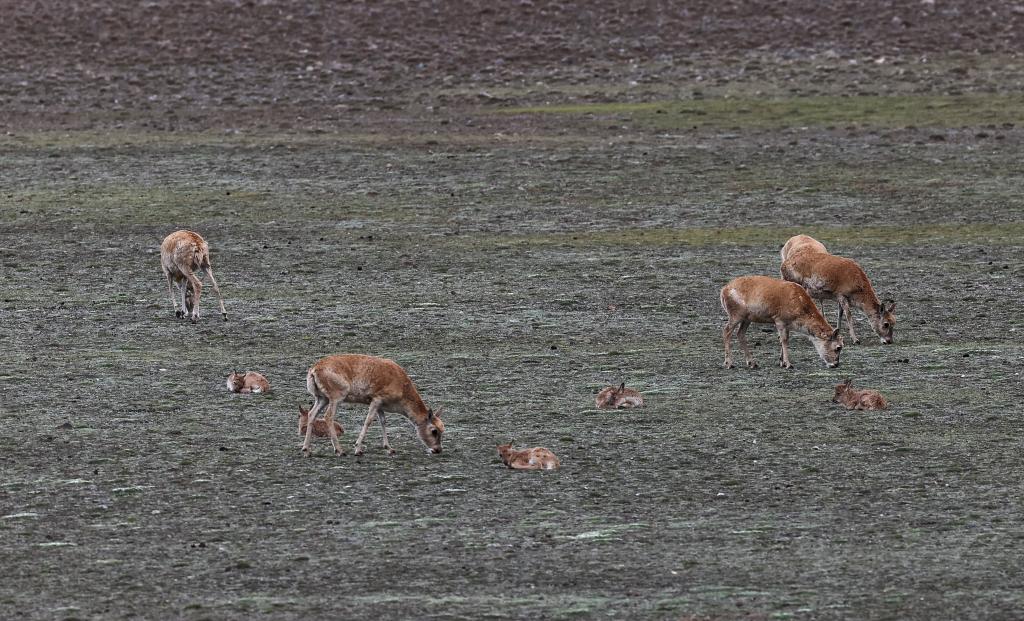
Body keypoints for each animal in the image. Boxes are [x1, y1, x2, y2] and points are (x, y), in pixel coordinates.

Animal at [299, 354, 444, 457]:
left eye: (442, 429)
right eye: (434, 430)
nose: (438, 449)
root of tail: (313, 370)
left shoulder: (380, 405)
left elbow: (383, 421)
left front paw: (389, 448)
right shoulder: (376, 399)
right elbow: (369, 421)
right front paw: (358, 449)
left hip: (321, 398)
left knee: (312, 414)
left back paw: (307, 450)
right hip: (336, 397)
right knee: (328, 416)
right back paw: (340, 450)